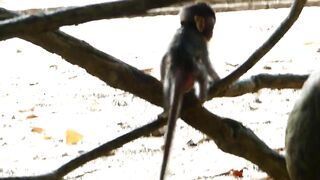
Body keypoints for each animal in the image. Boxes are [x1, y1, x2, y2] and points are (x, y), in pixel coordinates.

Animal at [160, 2, 220, 180]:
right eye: (211, 25)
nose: (211, 33)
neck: (188, 27)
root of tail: (178, 68)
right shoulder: (200, 41)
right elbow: (206, 62)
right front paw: (218, 80)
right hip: (193, 70)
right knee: (201, 69)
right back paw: (201, 96)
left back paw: (166, 110)